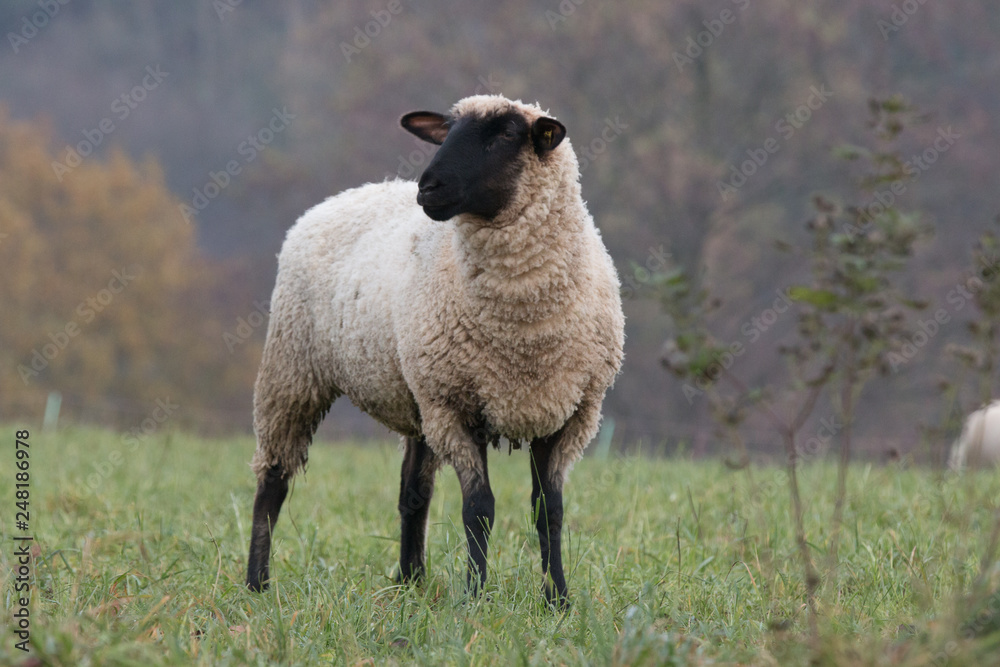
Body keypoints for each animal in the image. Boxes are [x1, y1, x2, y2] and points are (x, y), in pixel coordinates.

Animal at [245, 95, 625, 605]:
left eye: (507, 134)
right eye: (446, 132)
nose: (428, 187)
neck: (522, 331)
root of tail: (341, 196)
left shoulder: (567, 414)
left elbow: (550, 511)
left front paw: (558, 601)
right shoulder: (456, 408)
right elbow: (479, 508)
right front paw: (476, 597)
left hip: (416, 398)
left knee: (413, 494)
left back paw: (411, 579)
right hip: (293, 370)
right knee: (272, 480)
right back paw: (257, 584)